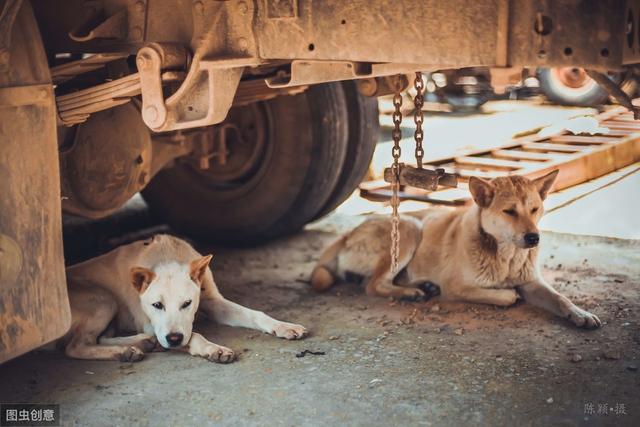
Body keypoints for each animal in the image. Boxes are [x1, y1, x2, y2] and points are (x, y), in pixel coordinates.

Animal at [60, 236, 308, 362]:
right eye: (157, 305)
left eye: (187, 304)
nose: (173, 340)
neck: (166, 255)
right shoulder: (151, 325)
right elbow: (193, 335)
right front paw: (212, 348)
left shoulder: (215, 302)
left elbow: (255, 314)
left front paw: (282, 325)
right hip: (104, 299)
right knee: (75, 347)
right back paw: (125, 350)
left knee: (97, 339)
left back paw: (138, 344)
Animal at [312, 171, 604, 332]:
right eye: (509, 211)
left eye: (534, 209)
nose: (534, 237)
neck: (506, 256)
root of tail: (346, 234)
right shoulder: (456, 287)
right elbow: (506, 296)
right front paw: (508, 293)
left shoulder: (533, 282)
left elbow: (560, 298)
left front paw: (580, 314)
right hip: (408, 227)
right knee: (374, 285)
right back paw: (411, 293)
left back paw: (421, 286)